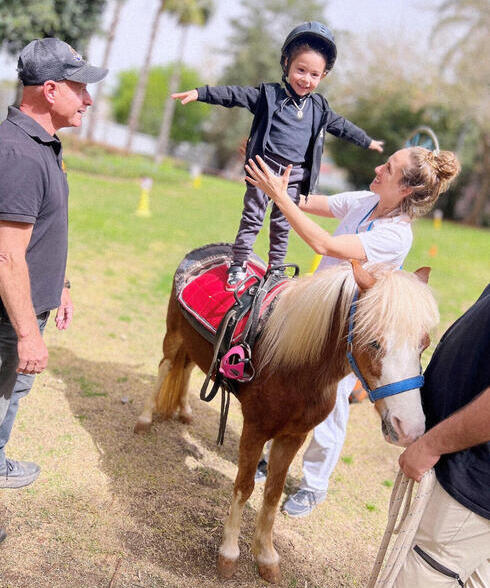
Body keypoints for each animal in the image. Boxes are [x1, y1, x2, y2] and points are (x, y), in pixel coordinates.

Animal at [133, 248, 436, 584]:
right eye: (374, 342)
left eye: (424, 344)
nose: (409, 428)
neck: (296, 367)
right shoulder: (255, 429)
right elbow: (244, 486)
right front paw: (229, 552)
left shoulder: (293, 437)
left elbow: (273, 494)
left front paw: (265, 555)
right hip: (174, 335)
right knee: (166, 368)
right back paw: (145, 419)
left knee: (185, 368)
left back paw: (185, 411)